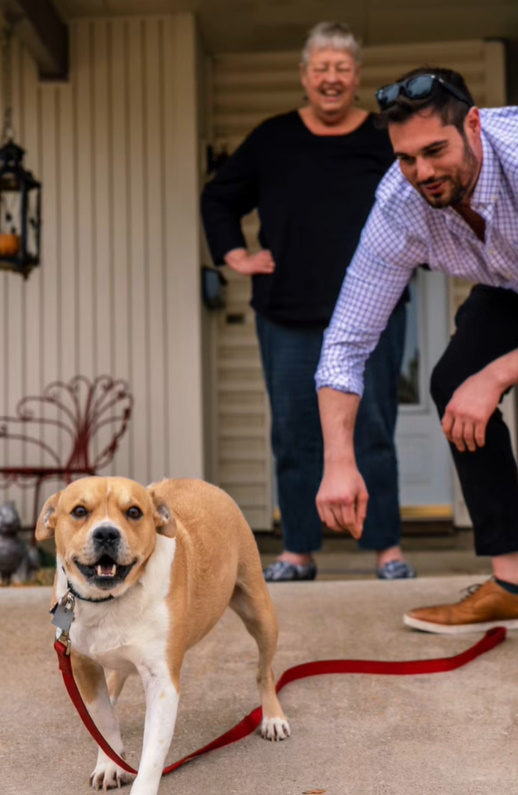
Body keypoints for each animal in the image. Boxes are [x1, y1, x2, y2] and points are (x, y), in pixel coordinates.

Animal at [37, 476, 292, 792]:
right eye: (80, 511)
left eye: (134, 512)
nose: (107, 533)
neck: (110, 601)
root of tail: (204, 483)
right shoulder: (84, 666)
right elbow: (105, 723)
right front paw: (110, 764)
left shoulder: (161, 683)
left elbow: (152, 756)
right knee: (114, 683)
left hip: (260, 615)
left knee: (265, 672)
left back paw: (272, 717)